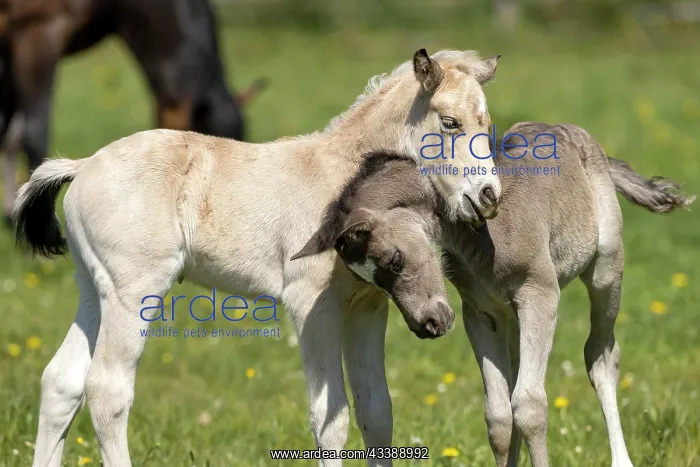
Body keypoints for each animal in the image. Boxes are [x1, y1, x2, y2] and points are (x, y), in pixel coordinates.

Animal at [13, 48, 503, 467]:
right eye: (450, 122)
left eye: (487, 123)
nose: (489, 196)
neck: (343, 183)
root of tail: (83, 165)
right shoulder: (313, 307)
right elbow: (331, 418)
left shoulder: (368, 307)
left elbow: (377, 411)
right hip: (132, 293)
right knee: (107, 389)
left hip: (93, 292)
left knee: (61, 382)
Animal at [326, 124, 694, 467]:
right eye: (374, 283)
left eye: (395, 260)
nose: (428, 325)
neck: (477, 233)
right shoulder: (481, 313)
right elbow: (500, 415)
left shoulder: (539, 293)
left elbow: (529, 406)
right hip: (512, 316)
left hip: (606, 271)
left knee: (601, 355)